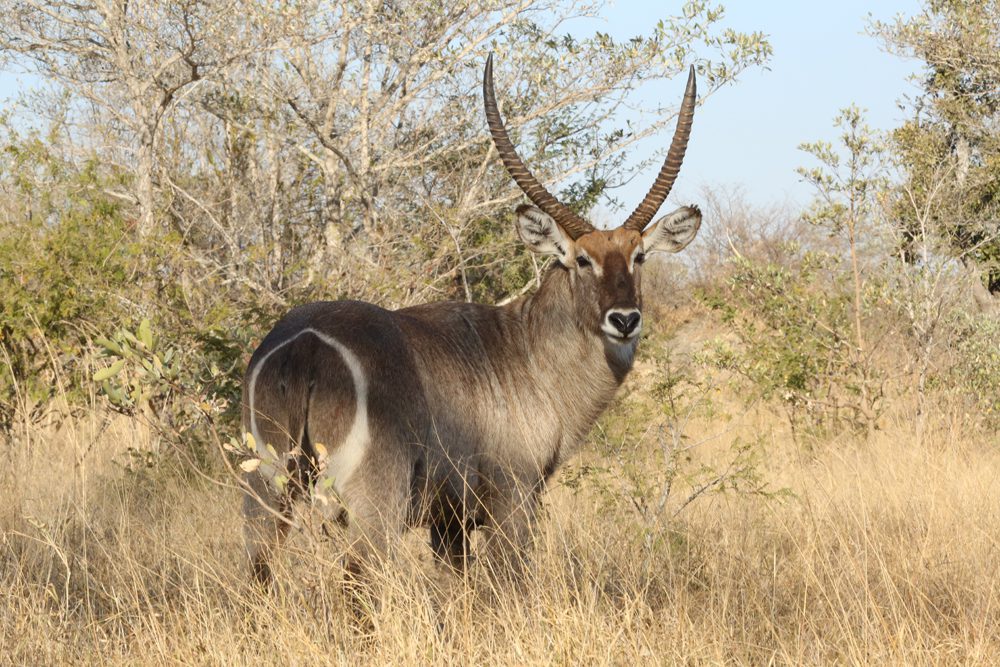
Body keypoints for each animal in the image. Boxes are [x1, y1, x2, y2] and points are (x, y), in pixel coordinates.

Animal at [240, 56, 704, 584]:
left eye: (639, 256)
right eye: (582, 260)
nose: (624, 319)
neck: (527, 350)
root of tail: (306, 344)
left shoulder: (449, 522)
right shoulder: (514, 499)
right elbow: (510, 583)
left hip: (267, 494)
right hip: (370, 508)